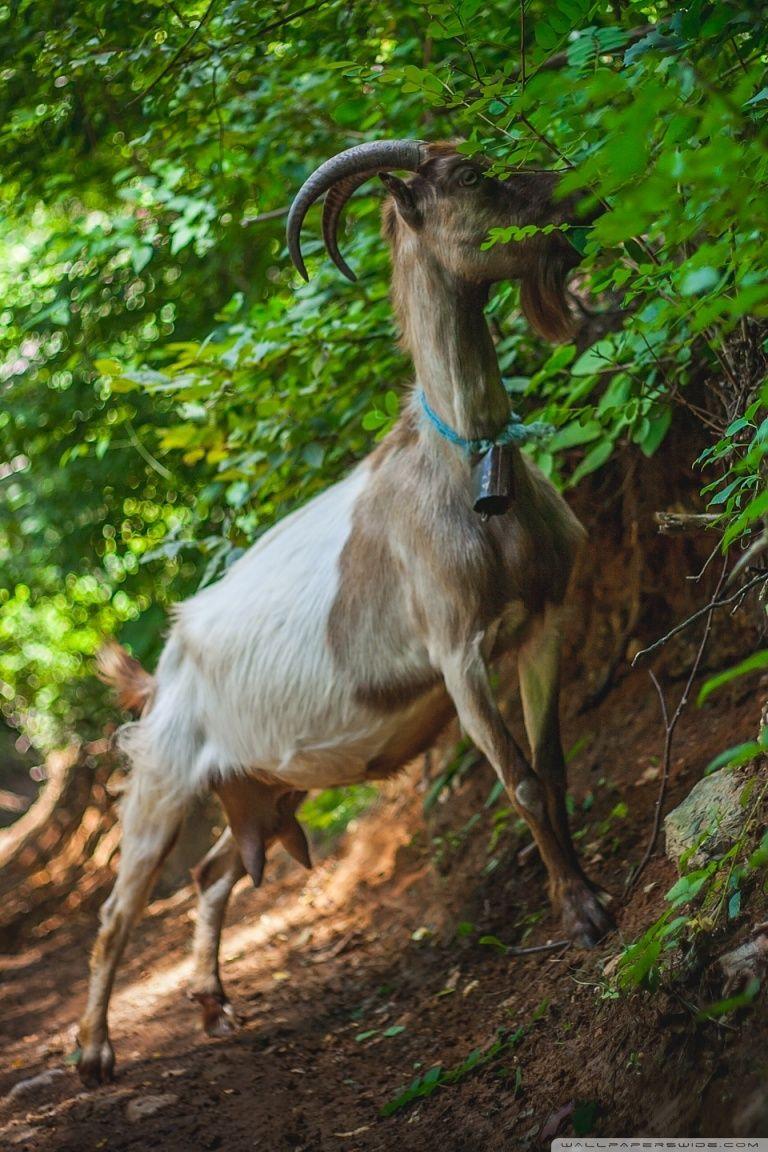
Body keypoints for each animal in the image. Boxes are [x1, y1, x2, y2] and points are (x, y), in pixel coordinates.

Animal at [76, 139, 614, 1086]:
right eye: (470, 177)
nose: (580, 192)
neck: (468, 468)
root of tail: (161, 668)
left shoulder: (543, 624)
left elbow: (550, 769)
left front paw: (586, 893)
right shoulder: (459, 655)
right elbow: (517, 781)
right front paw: (580, 917)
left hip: (265, 787)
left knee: (212, 874)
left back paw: (213, 1002)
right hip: (163, 781)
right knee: (118, 910)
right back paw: (95, 1053)